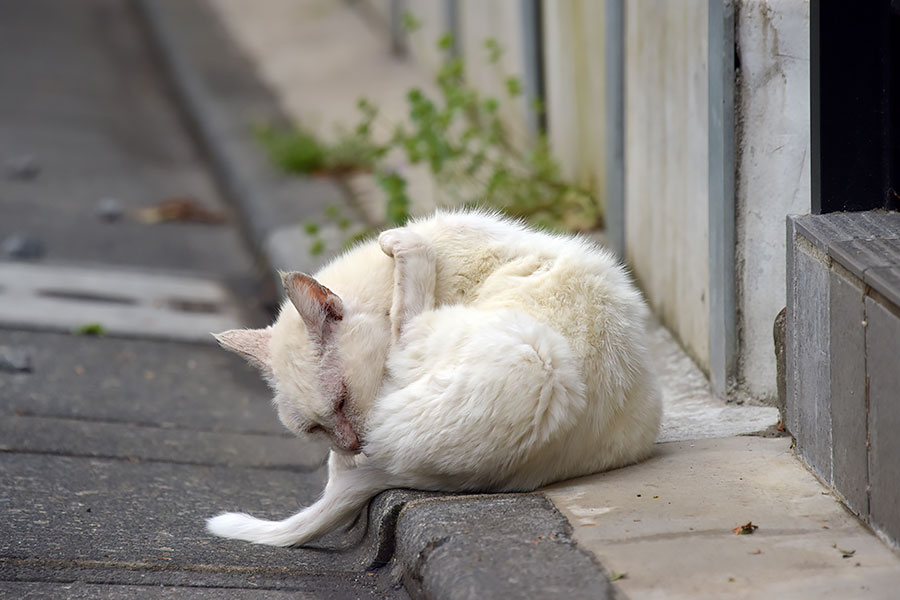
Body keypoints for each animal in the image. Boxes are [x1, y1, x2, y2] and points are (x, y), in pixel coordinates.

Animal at [209, 209, 660, 548]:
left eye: (341, 400)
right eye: (313, 429)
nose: (351, 443)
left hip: (536, 356)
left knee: (407, 314)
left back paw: (401, 241)